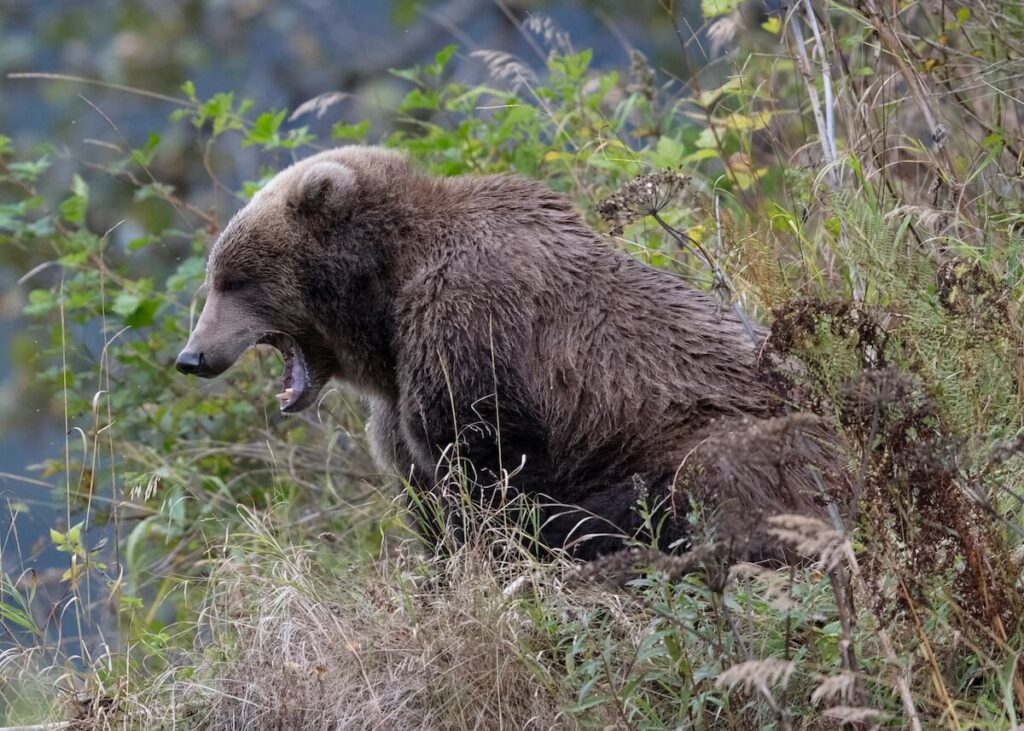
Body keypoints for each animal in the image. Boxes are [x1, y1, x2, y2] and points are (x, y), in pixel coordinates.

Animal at [176, 146, 850, 562]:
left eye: (234, 280)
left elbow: (492, 473)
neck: (386, 305)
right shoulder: (401, 399)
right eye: (216, 276)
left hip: (726, 439)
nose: (192, 356)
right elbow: (428, 494)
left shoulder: (469, 327)